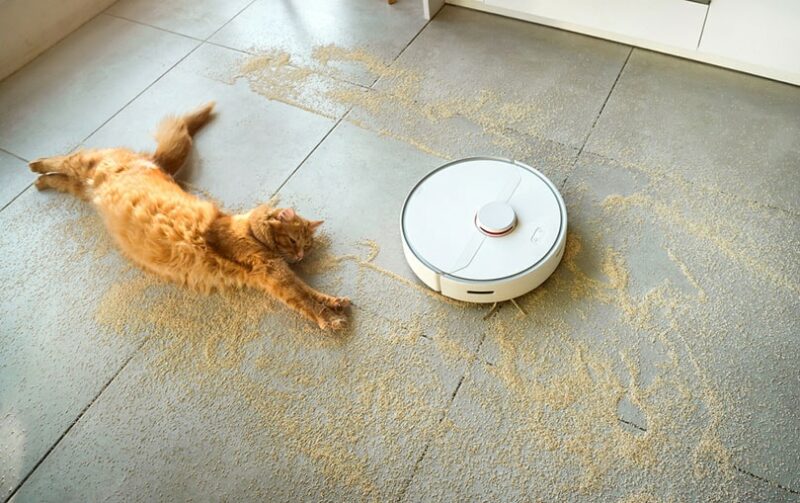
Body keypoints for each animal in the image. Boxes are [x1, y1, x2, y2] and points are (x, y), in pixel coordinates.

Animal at [31, 102, 350, 330]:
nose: (300, 255)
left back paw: (41, 182)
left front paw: (335, 302)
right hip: (86, 164)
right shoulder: (273, 273)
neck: (247, 230)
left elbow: (309, 293)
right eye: (294, 240)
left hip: (84, 189)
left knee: (62, 179)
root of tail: (153, 162)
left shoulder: (276, 276)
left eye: (306, 246)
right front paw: (329, 319)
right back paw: (36, 164)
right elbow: (306, 301)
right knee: (65, 158)